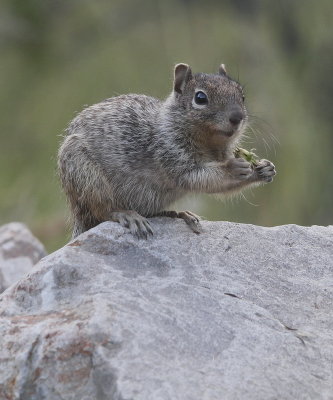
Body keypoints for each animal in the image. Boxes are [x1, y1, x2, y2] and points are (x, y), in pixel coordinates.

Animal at [57, 62, 274, 238]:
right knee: (102, 211)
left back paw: (179, 214)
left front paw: (263, 169)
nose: (237, 117)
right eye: (200, 98)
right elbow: (197, 177)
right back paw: (128, 215)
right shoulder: (169, 152)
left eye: (242, 95)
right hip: (85, 177)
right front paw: (233, 168)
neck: (209, 146)